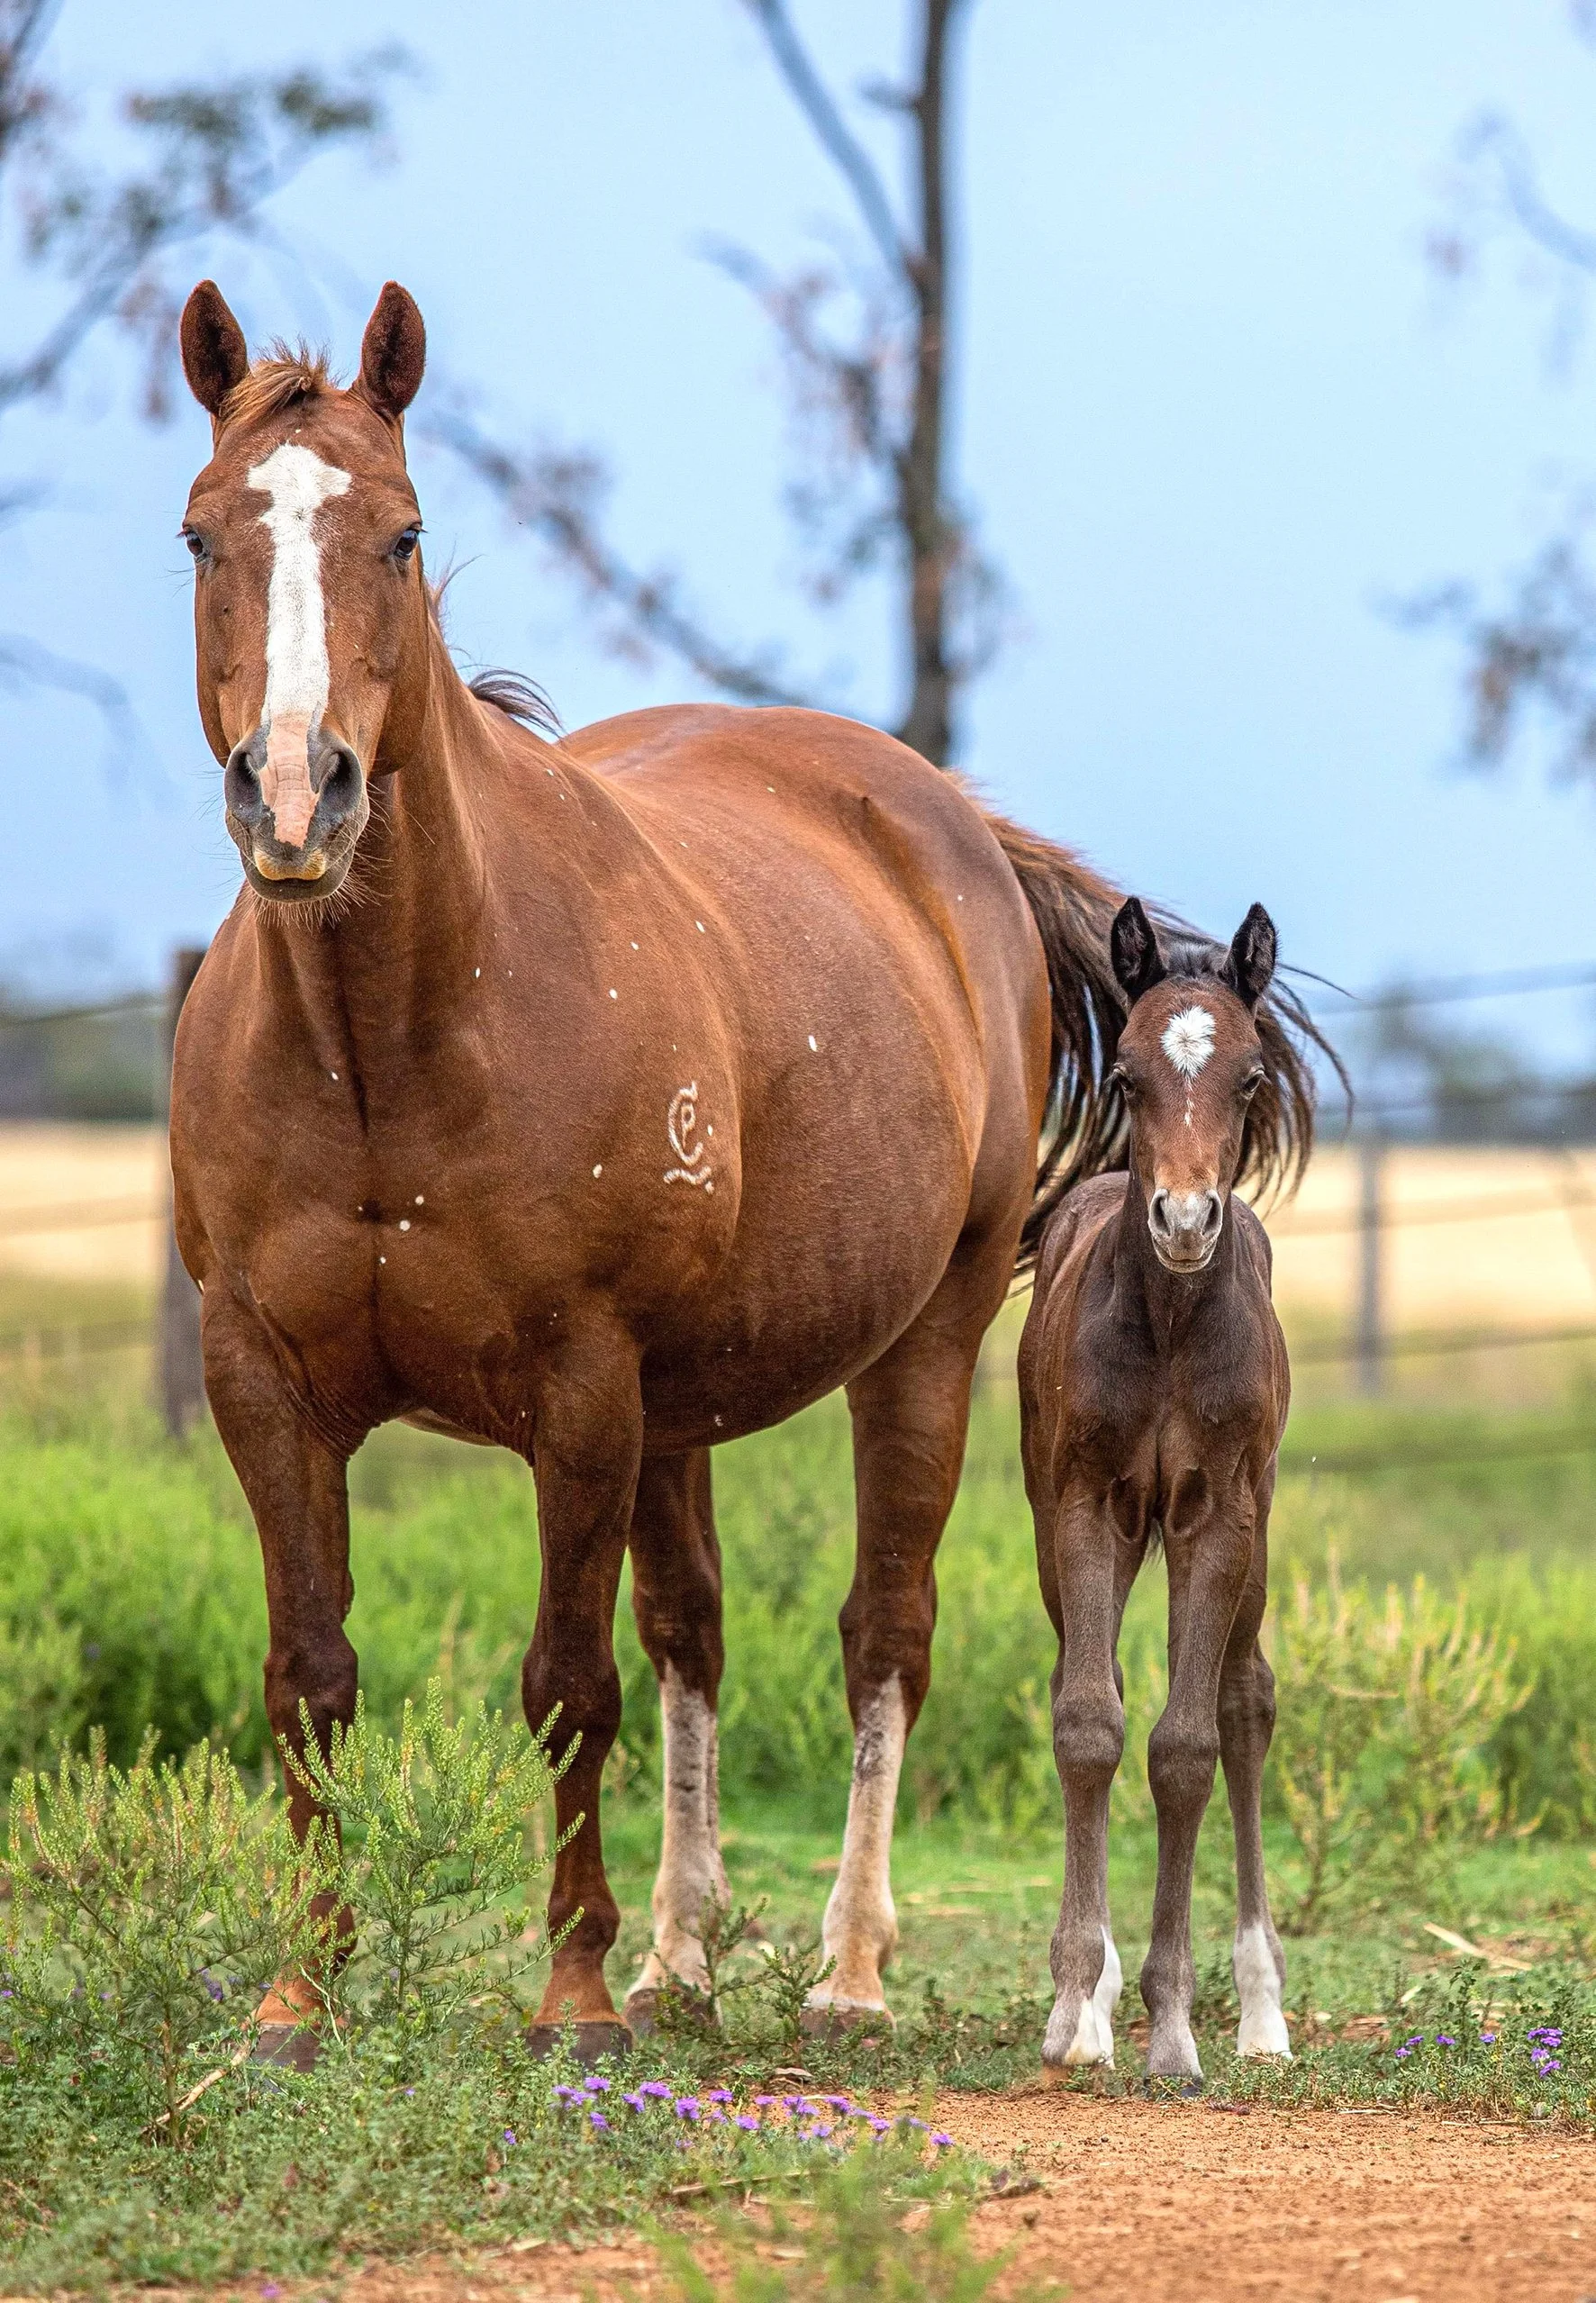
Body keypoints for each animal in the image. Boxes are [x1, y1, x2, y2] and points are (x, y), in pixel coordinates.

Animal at [170, 275, 1320, 2064]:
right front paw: (305, 1994)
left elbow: (565, 1683)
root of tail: (949, 823)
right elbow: (313, 1672)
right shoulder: (261, 1379)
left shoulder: (578, 1387)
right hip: (680, 1407)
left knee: (881, 1635)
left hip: (913, 1354)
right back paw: (683, 1956)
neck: (386, 1042)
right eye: (204, 533)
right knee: (692, 1635)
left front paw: (571, 2001)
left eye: (402, 535)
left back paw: (845, 1969)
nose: (298, 794)